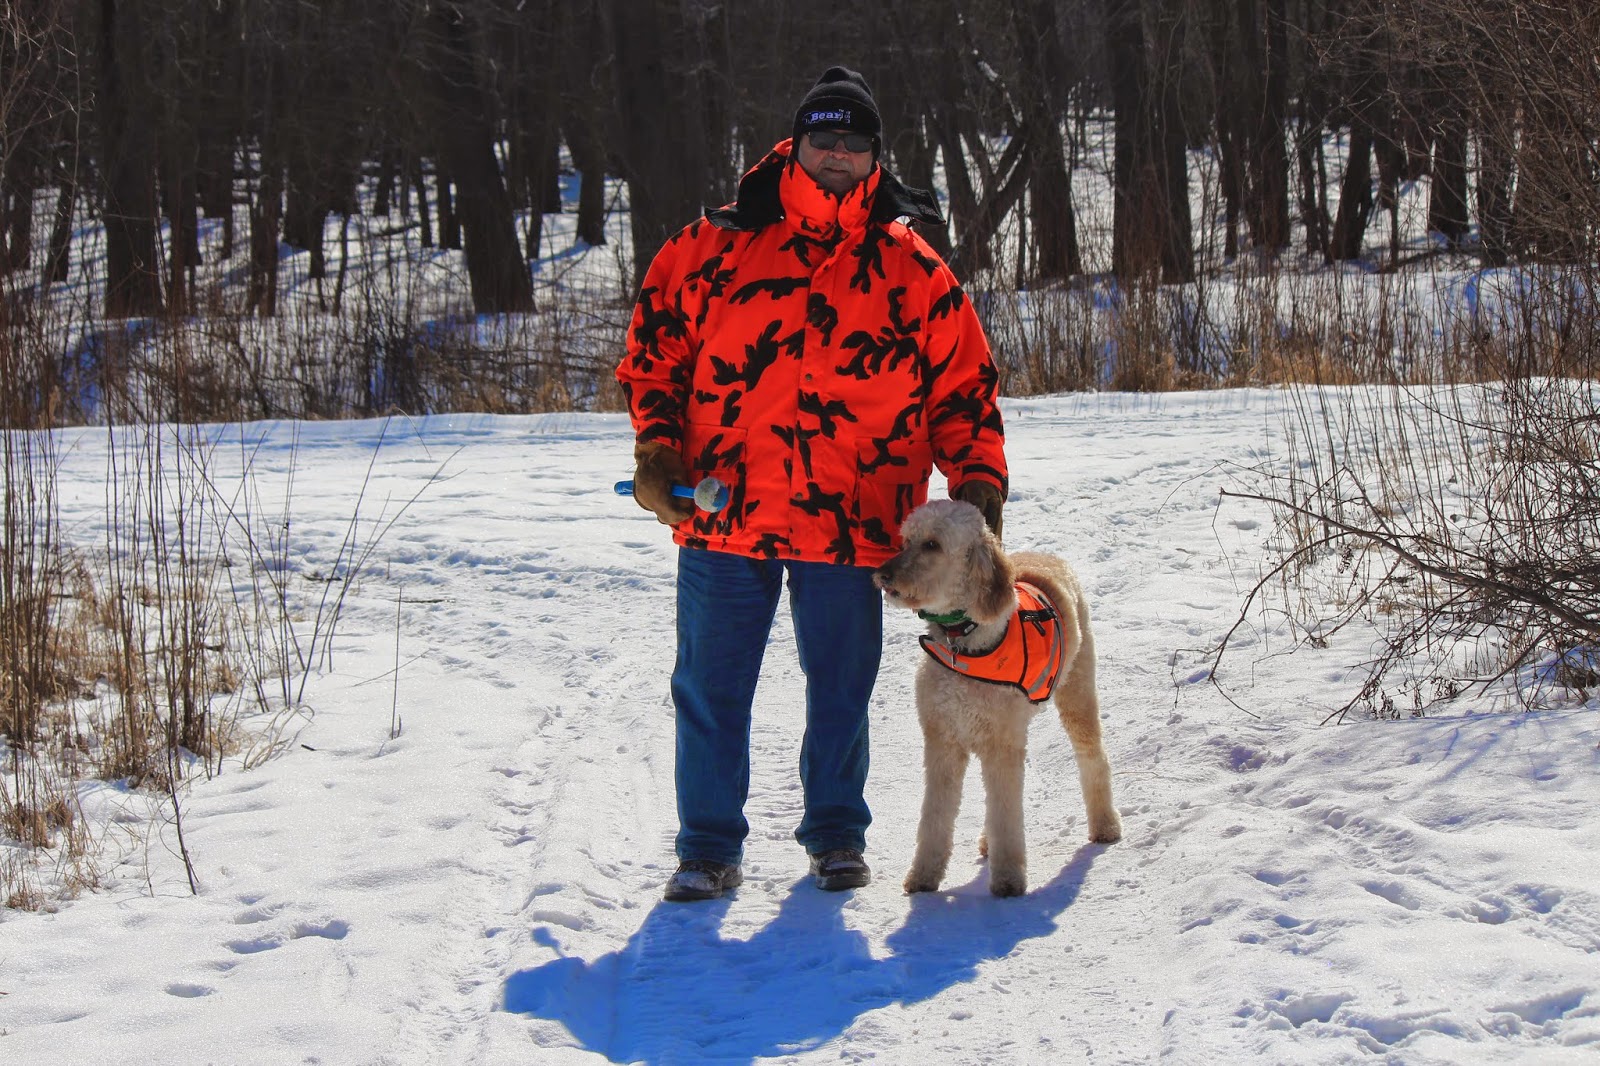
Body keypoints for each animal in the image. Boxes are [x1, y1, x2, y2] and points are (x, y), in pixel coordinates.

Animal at [873, 499, 1121, 896]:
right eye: (907, 540)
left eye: (932, 545)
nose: (883, 574)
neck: (963, 641)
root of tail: (1047, 557)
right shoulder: (942, 742)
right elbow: (935, 817)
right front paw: (924, 876)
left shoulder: (1001, 745)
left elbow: (1006, 813)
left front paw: (1007, 880)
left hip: (1077, 692)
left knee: (1093, 758)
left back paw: (1105, 826)